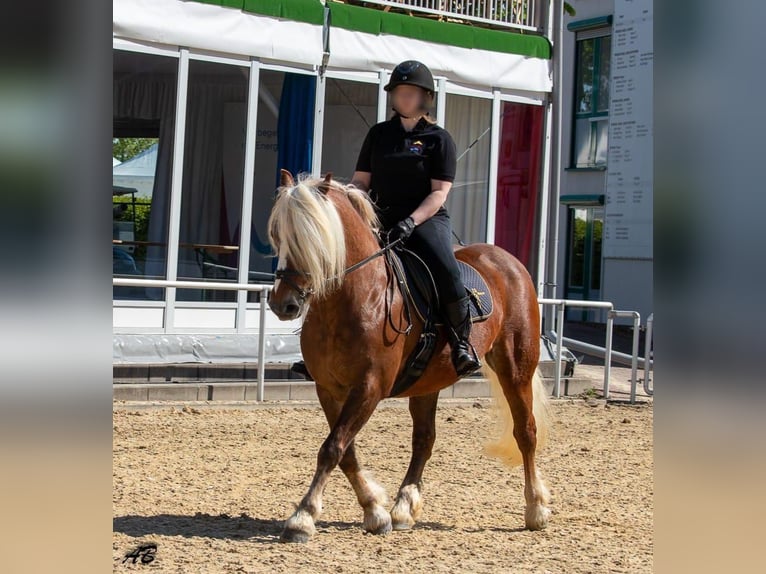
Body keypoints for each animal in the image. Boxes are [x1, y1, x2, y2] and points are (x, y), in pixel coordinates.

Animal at [268, 170, 548, 544]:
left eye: (312, 237)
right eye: (278, 235)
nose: (283, 304)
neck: (355, 298)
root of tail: (508, 260)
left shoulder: (369, 387)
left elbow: (332, 447)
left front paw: (302, 517)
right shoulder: (328, 389)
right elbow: (346, 451)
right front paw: (375, 510)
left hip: (516, 368)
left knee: (525, 431)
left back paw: (536, 508)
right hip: (429, 380)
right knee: (424, 440)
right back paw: (403, 508)